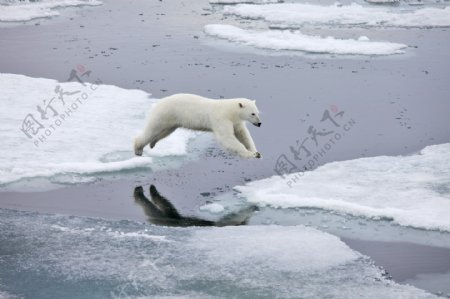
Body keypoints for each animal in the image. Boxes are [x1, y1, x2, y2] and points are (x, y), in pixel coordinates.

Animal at [134, 94, 262, 159]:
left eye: (258, 112)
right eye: (252, 113)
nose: (259, 123)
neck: (230, 111)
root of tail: (158, 103)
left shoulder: (236, 121)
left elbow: (243, 135)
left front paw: (256, 152)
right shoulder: (221, 119)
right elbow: (227, 138)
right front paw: (250, 154)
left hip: (171, 120)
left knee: (164, 131)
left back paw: (153, 143)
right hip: (164, 114)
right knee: (152, 130)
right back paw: (138, 149)